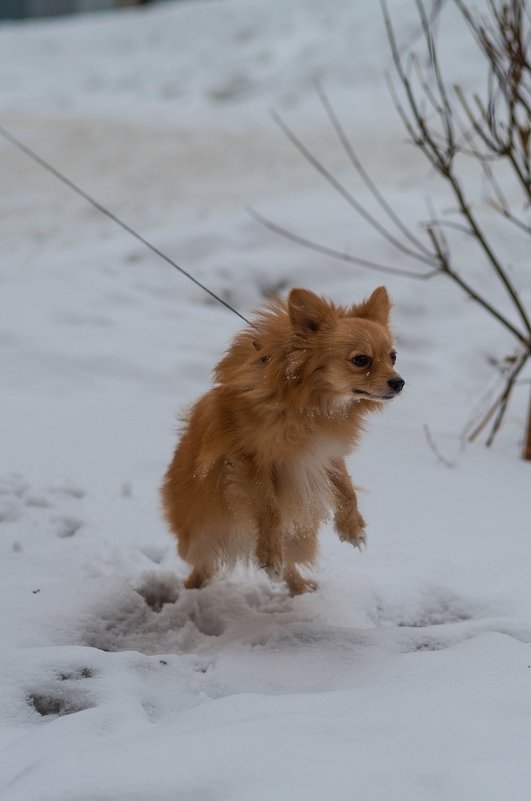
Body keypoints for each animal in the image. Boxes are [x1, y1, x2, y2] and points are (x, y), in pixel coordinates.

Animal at [161, 288, 404, 592]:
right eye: (361, 360)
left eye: (393, 357)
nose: (399, 382)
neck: (309, 406)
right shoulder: (247, 460)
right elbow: (270, 509)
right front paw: (270, 555)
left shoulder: (324, 453)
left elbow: (346, 488)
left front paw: (352, 526)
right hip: (200, 534)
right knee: (202, 564)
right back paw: (195, 587)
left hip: (300, 536)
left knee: (292, 562)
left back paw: (300, 588)